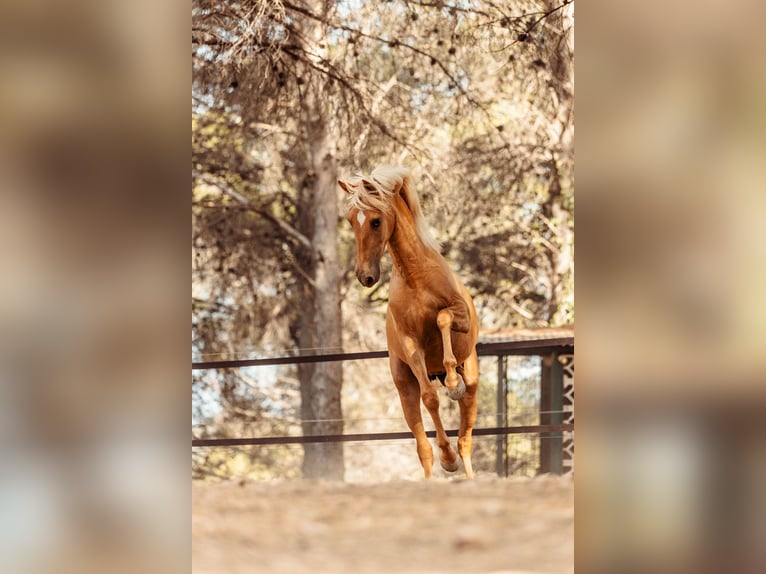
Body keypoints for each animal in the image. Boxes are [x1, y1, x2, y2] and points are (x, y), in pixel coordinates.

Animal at [342, 166, 480, 482]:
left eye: (376, 221)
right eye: (350, 221)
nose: (365, 276)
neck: (416, 276)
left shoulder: (461, 317)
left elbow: (442, 317)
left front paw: (452, 383)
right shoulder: (410, 344)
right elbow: (430, 399)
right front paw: (447, 460)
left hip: (473, 382)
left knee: (465, 440)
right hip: (404, 388)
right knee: (424, 448)